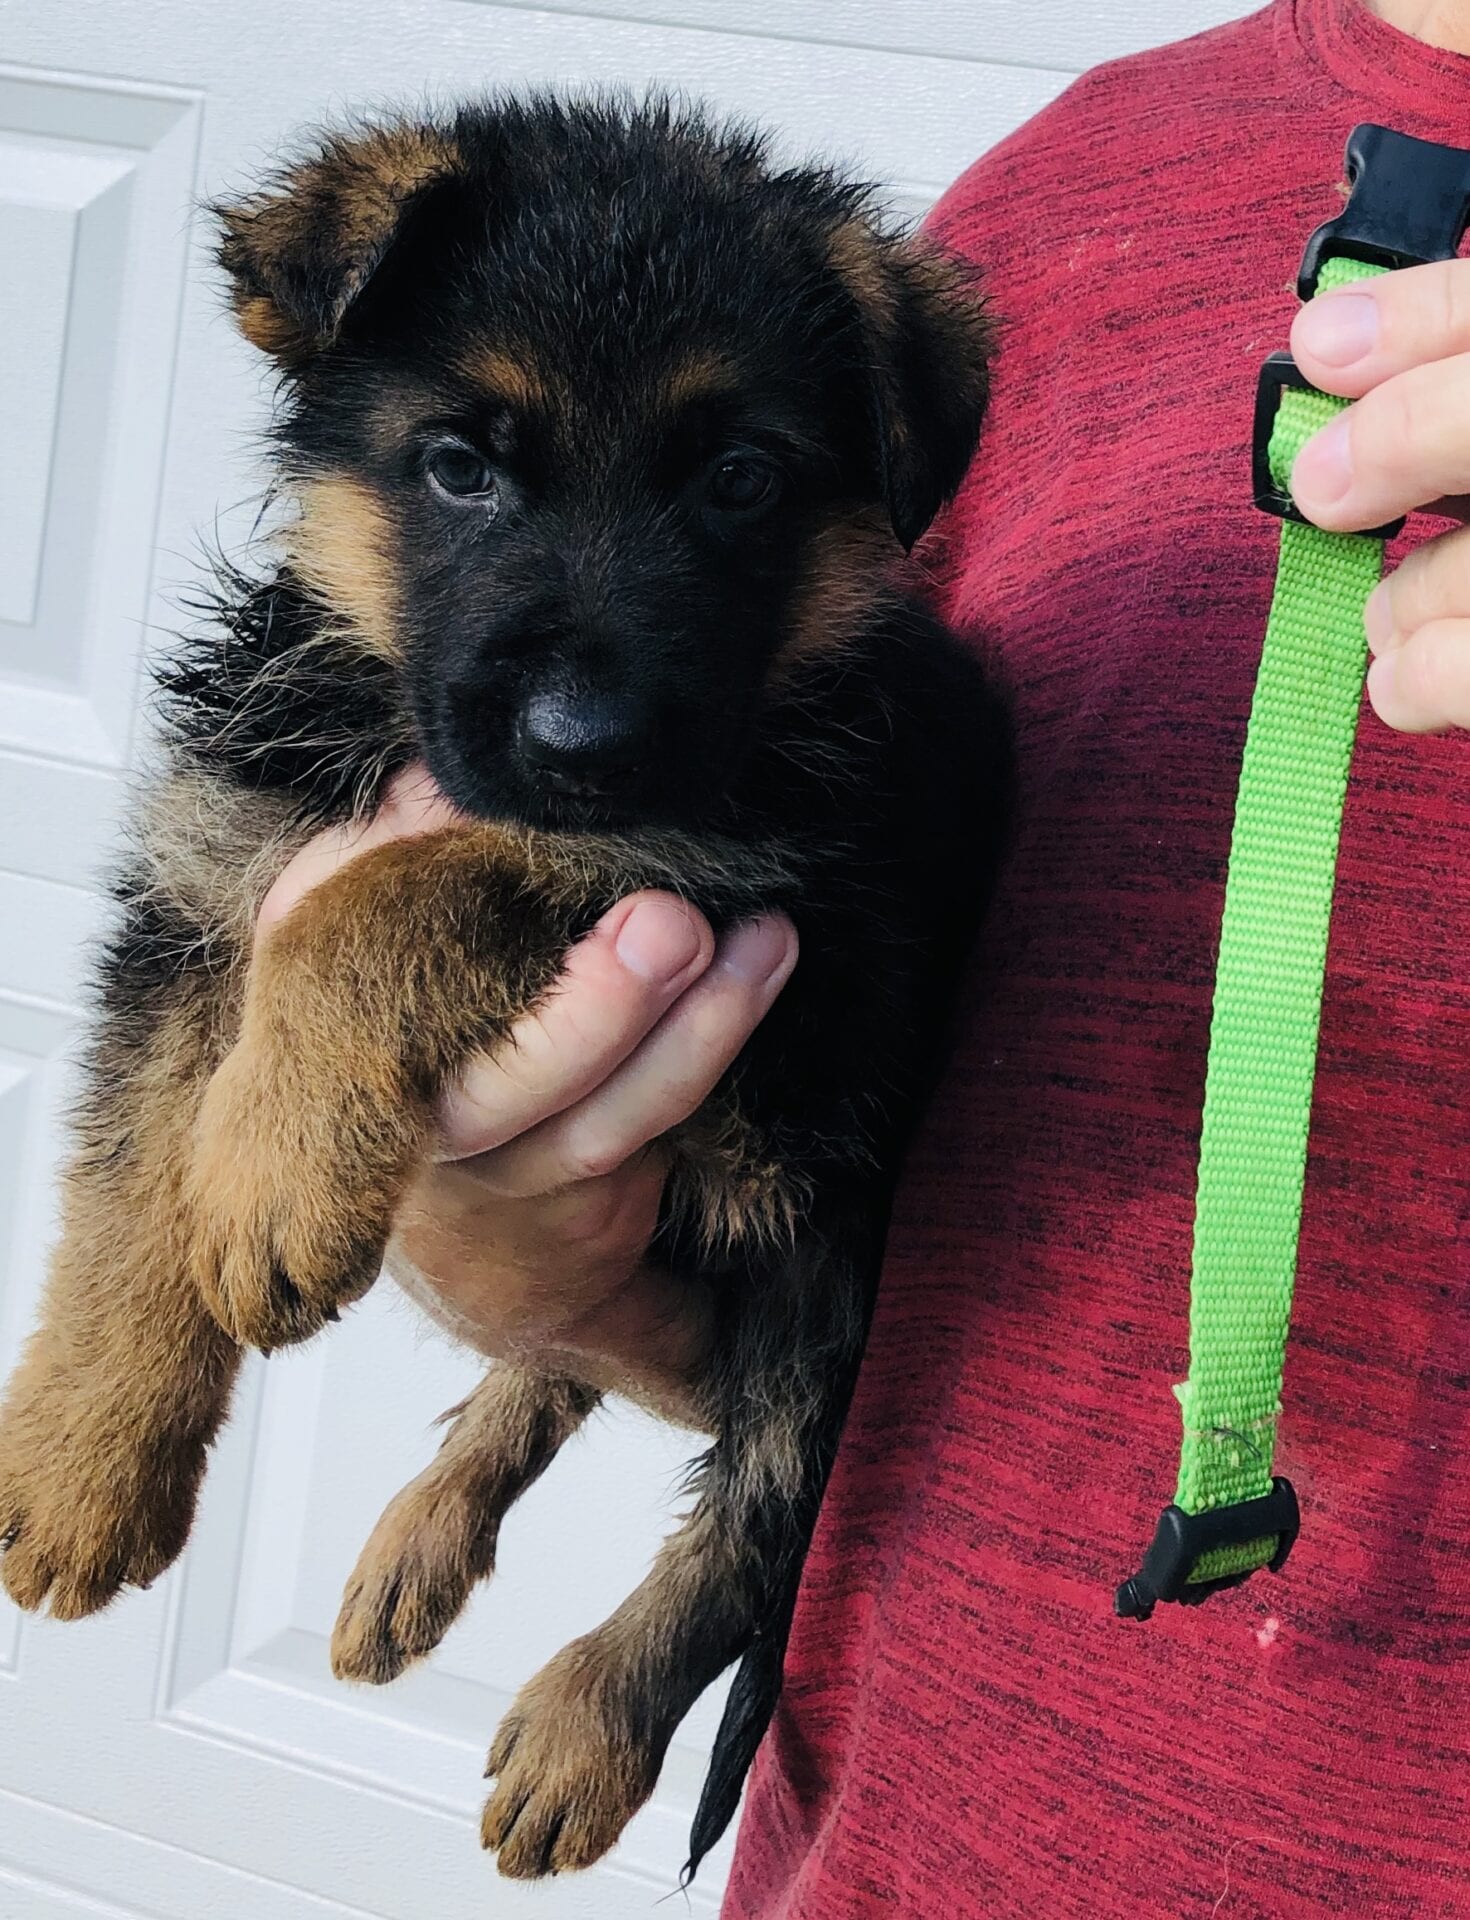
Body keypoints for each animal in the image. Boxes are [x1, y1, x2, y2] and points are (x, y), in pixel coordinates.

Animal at [0, 97, 1013, 1881]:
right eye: (458, 467)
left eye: (740, 482)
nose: (581, 748)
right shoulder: (206, 875)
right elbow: (123, 1186)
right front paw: (85, 1456)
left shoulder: (707, 868)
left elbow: (396, 888)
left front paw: (270, 1169)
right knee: (553, 1356)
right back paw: (419, 1538)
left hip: (837, 1250)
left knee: (756, 1512)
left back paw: (585, 1721)